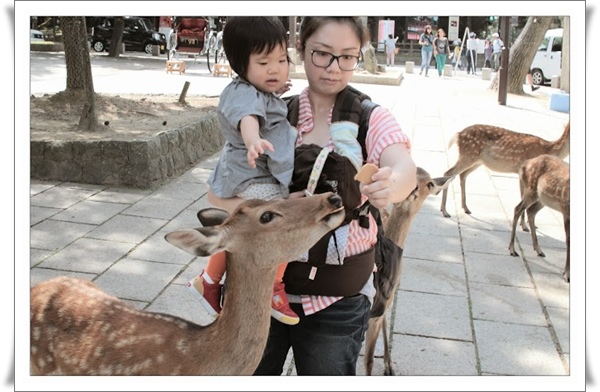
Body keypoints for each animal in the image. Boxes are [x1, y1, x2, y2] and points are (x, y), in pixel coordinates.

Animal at [440, 122, 572, 230]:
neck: (549, 149)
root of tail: (459, 134)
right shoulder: (523, 172)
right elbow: (521, 197)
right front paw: (524, 226)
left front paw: (529, 225)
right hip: (468, 155)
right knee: (448, 173)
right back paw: (445, 211)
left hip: (477, 161)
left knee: (462, 175)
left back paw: (465, 208)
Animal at [508, 155, 568, 284]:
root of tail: (525, 164)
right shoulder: (566, 210)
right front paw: (567, 275)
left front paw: (566, 273)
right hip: (532, 191)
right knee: (518, 208)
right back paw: (512, 249)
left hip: (542, 198)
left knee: (530, 211)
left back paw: (539, 250)